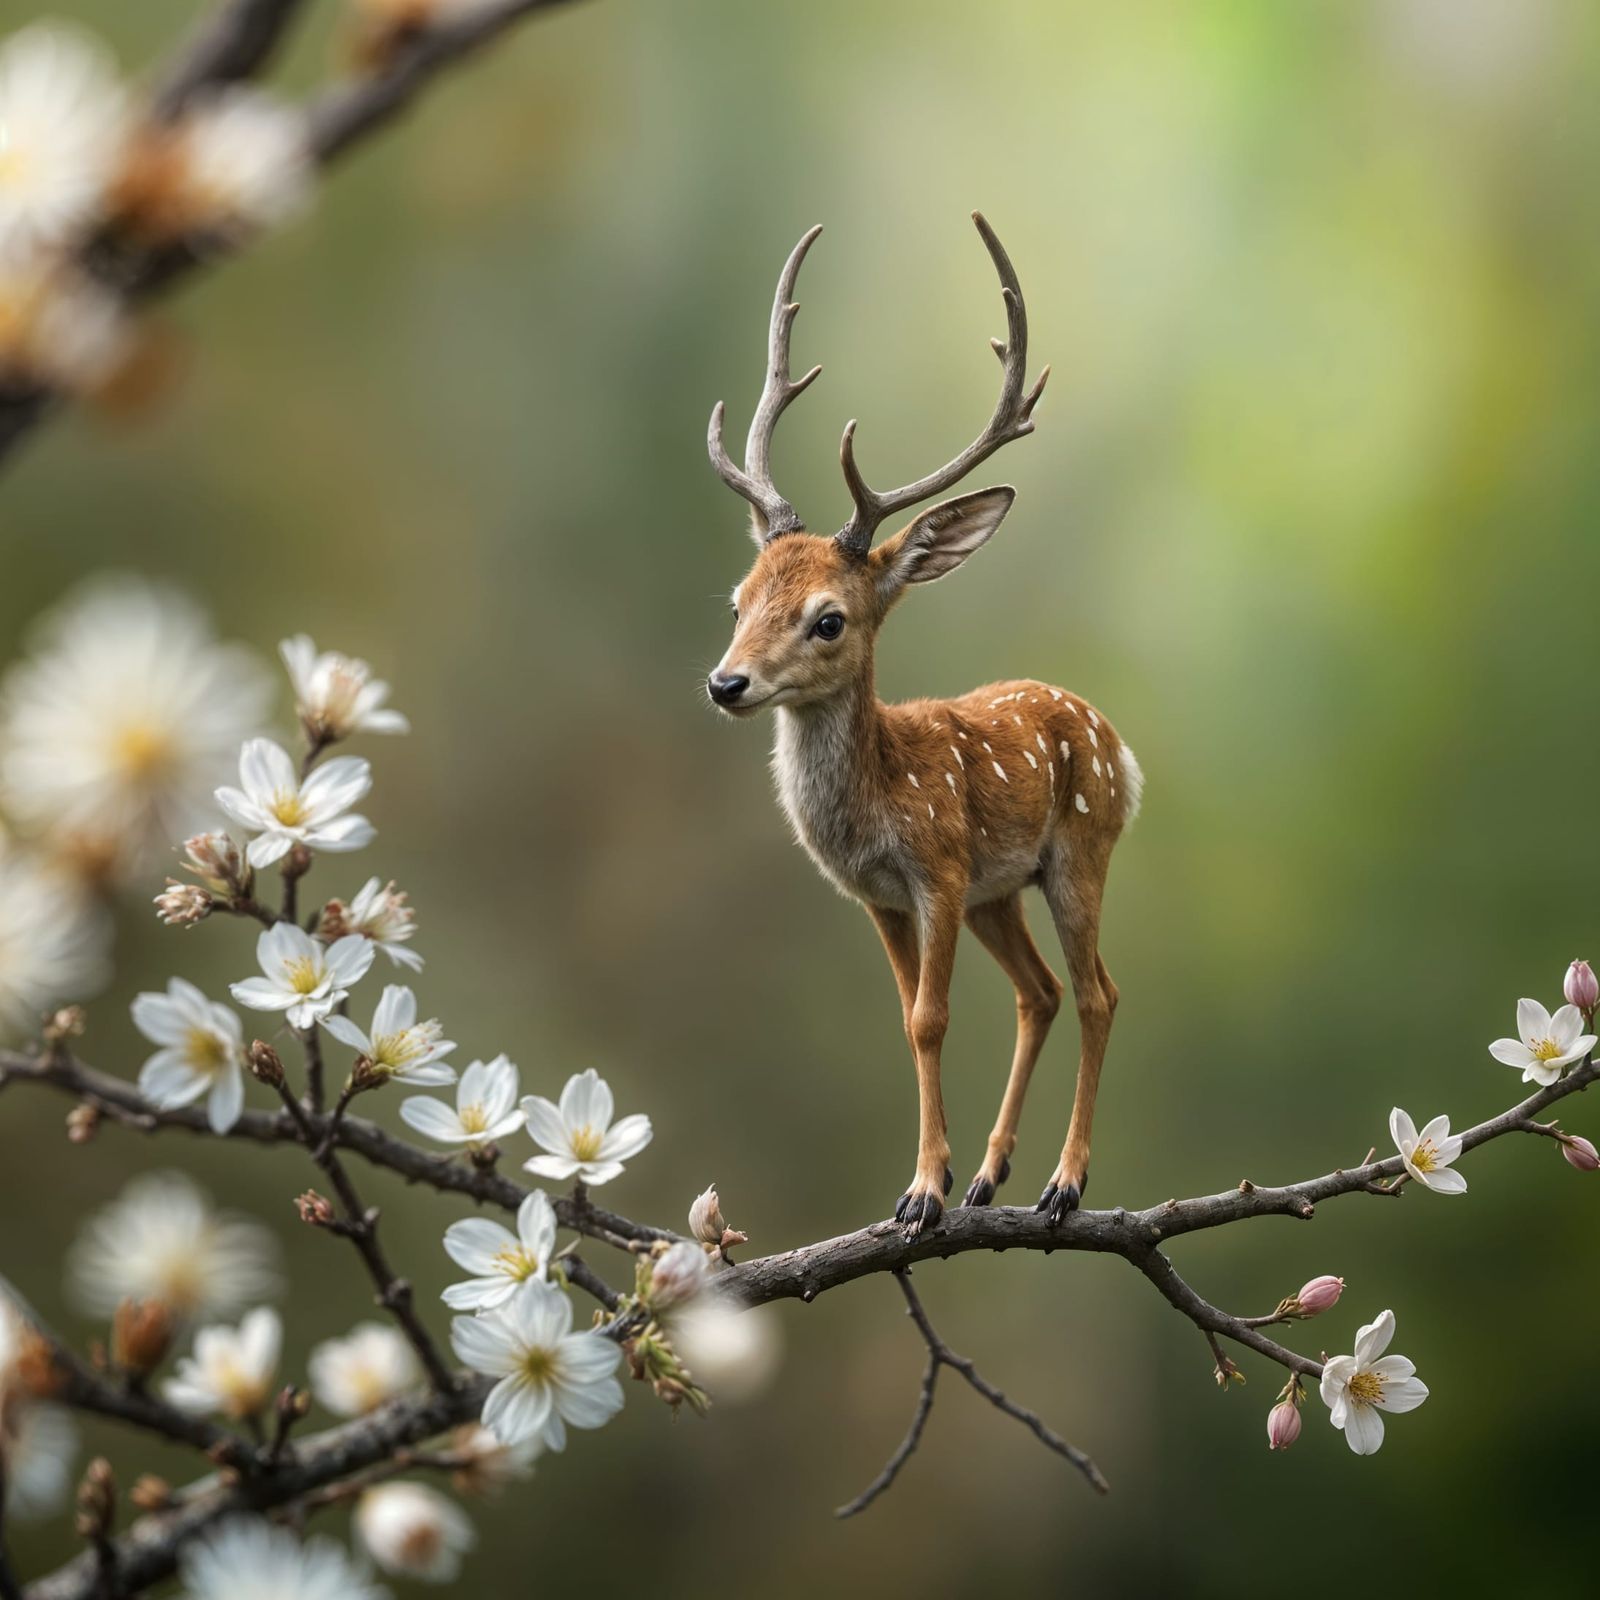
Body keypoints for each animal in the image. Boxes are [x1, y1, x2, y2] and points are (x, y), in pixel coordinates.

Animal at [704, 213, 1142, 1235]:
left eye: (829, 619)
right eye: (738, 600)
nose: (726, 683)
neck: (875, 801)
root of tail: (1123, 750)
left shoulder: (937, 870)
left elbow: (930, 1019)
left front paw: (921, 1192)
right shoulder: (882, 896)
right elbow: (908, 1021)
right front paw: (935, 1183)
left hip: (1079, 848)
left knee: (1098, 992)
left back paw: (1064, 1184)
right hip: (1000, 892)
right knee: (1041, 992)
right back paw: (993, 1175)